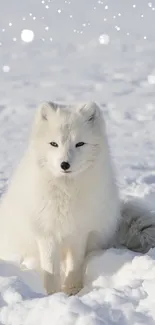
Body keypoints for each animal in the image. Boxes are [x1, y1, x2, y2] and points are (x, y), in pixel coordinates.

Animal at [0, 101, 120, 294]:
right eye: (54, 144)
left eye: (80, 144)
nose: (65, 164)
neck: (66, 191)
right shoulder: (46, 233)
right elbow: (50, 269)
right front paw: (51, 294)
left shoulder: (79, 231)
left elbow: (75, 264)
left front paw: (72, 290)